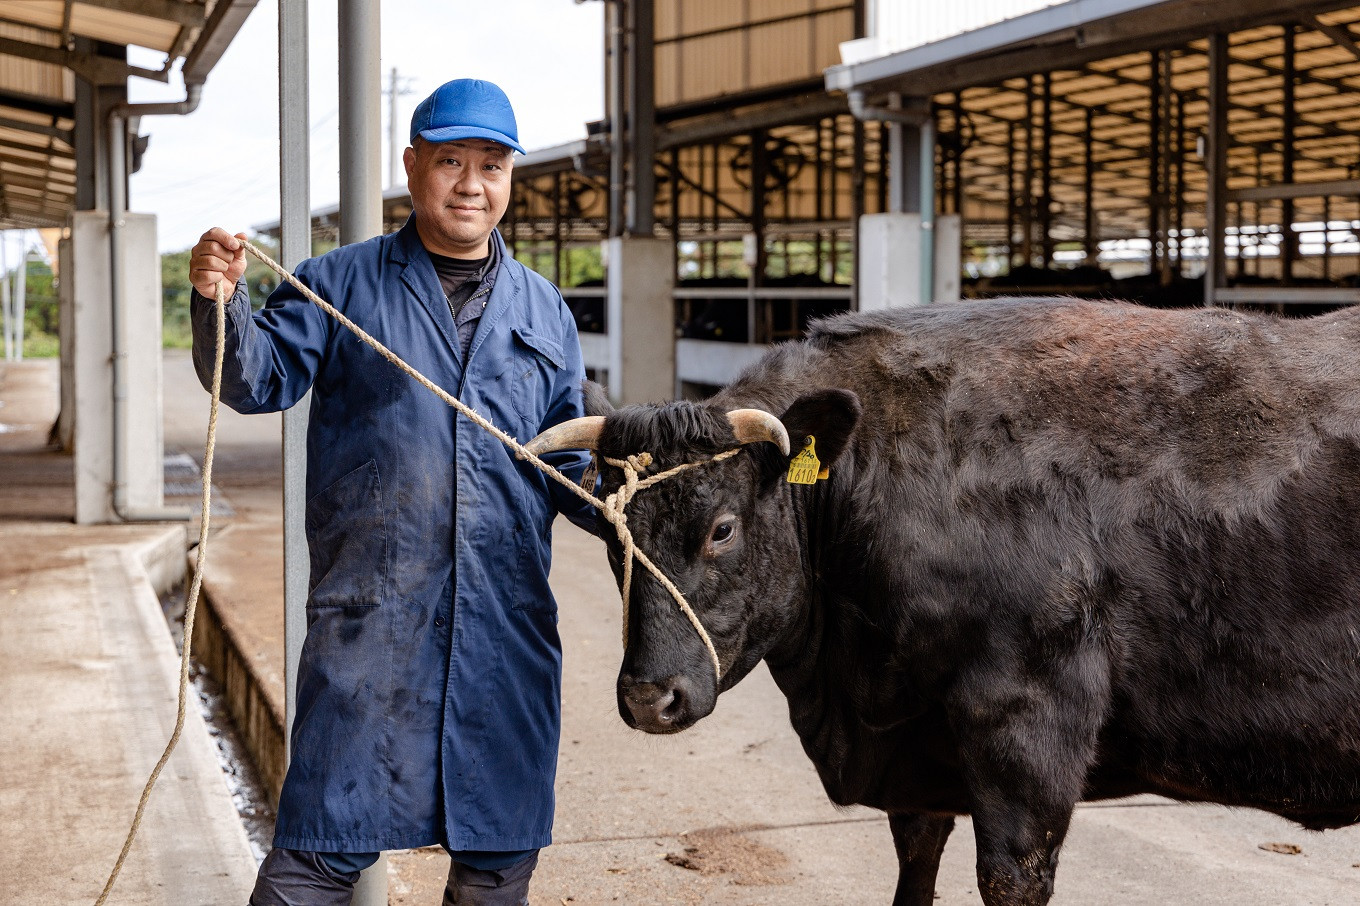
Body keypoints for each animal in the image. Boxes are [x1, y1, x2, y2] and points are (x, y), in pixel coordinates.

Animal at [527, 292, 1360, 897]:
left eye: (723, 530)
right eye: (610, 536)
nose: (647, 697)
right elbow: (916, 860)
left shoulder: (1027, 725)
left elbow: (1010, 877)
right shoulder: (916, 748)